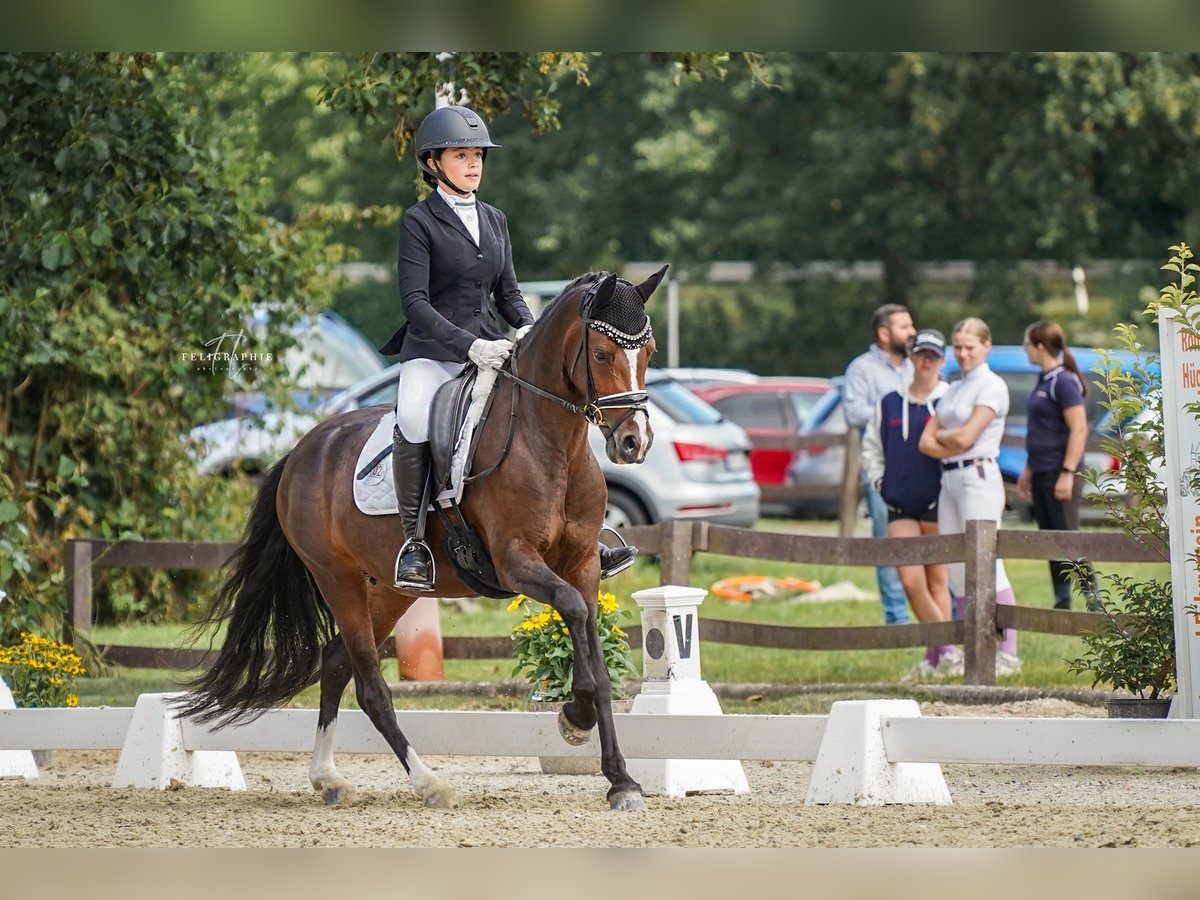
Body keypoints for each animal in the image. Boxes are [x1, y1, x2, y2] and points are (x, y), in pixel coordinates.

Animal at [175, 267, 667, 811]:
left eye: (649, 352)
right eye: (600, 354)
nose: (634, 442)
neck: (549, 444)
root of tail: (303, 449)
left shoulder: (582, 564)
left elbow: (598, 666)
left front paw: (621, 780)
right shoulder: (515, 561)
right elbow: (576, 616)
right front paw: (573, 719)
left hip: (388, 589)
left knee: (336, 661)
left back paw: (328, 779)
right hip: (337, 577)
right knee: (370, 686)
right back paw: (428, 783)